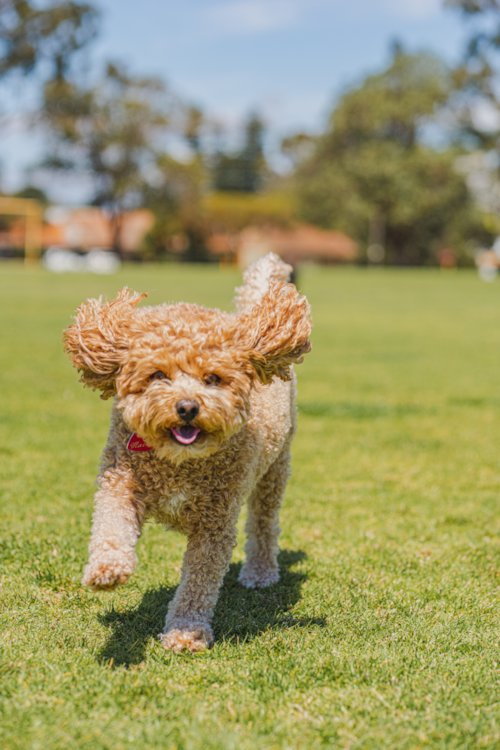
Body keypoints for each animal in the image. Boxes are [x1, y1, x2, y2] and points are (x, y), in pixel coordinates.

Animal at [64, 253, 310, 652]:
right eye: (157, 375)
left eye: (213, 379)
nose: (187, 407)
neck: (179, 463)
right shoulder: (120, 481)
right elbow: (110, 524)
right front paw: (107, 569)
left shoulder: (215, 524)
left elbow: (199, 583)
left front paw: (185, 632)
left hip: (275, 469)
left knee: (263, 522)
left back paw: (260, 572)